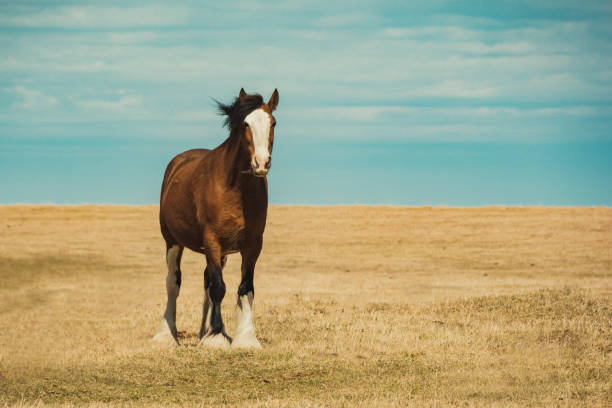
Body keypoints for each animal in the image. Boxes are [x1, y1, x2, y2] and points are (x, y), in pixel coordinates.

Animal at [153, 88, 280, 348]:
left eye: (273, 122)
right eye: (245, 123)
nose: (261, 163)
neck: (236, 189)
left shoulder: (253, 244)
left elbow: (245, 287)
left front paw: (244, 337)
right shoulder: (212, 240)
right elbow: (219, 288)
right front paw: (218, 338)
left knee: (207, 281)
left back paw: (204, 331)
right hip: (173, 241)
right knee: (173, 282)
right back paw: (166, 335)